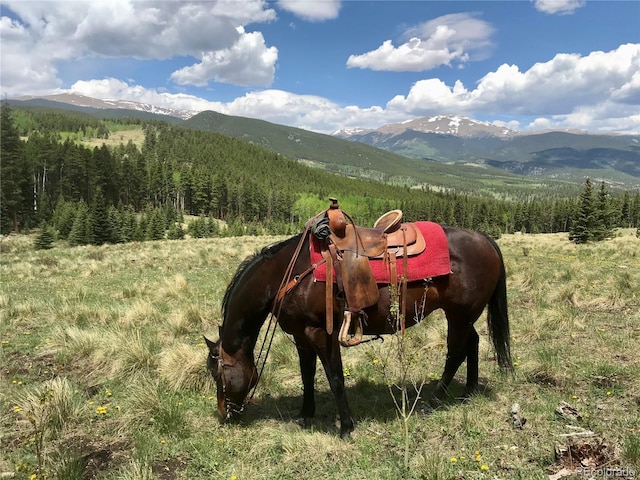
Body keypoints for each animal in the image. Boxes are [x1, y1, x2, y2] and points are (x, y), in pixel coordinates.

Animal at [202, 221, 512, 438]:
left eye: (218, 374)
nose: (224, 413)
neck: (287, 274)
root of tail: (485, 239)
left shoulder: (322, 334)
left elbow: (335, 378)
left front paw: (346, 426)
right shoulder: (301, 337)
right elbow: (306, 376)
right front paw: (305, 414)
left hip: (459, 315)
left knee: (456, 352)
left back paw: (433, 401)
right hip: (464, 316)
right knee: (472, 342)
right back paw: (468, 391)